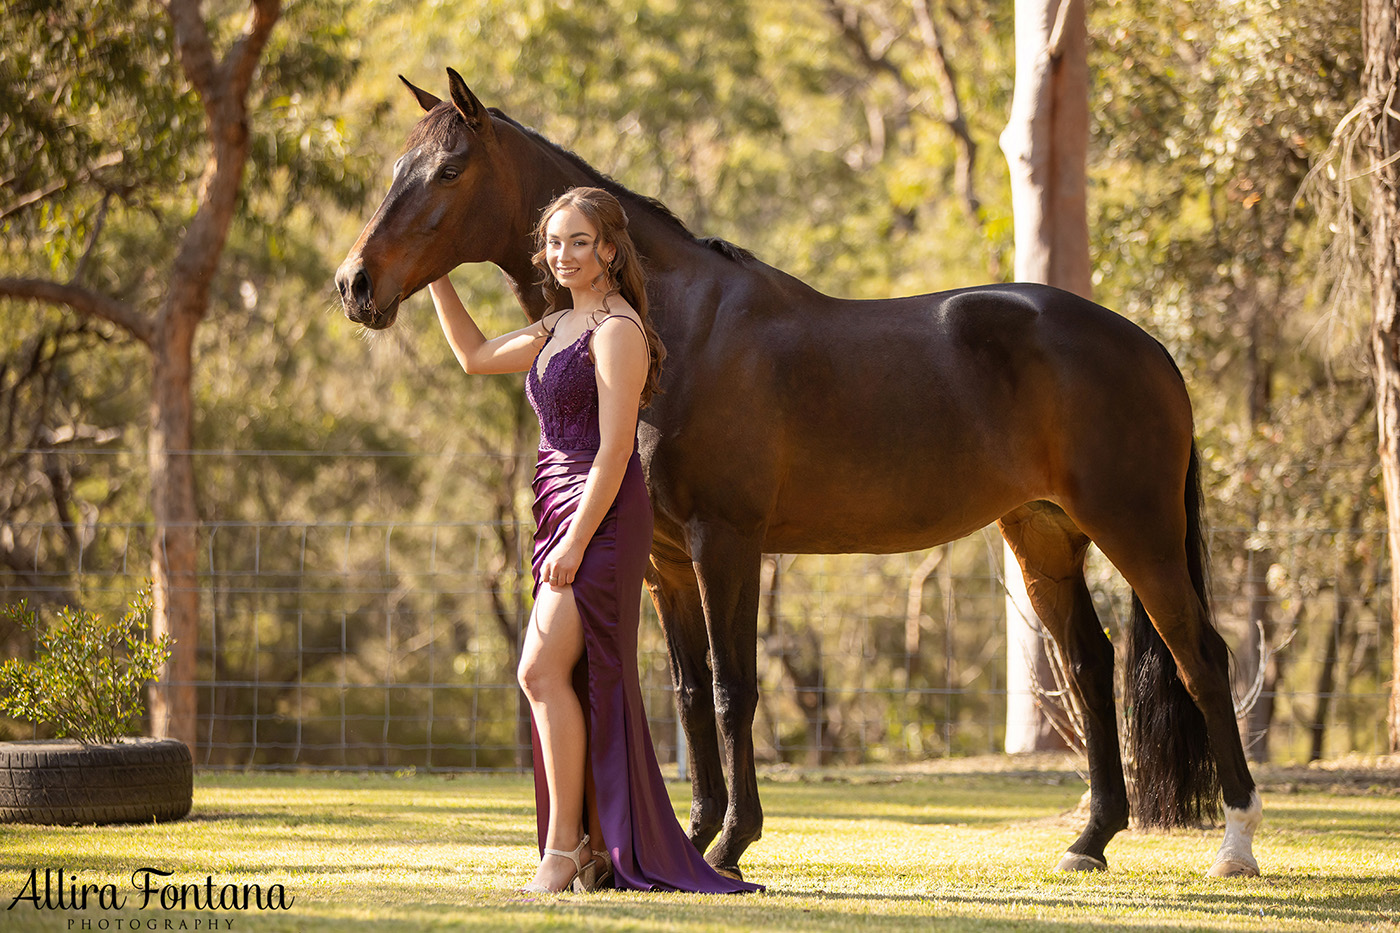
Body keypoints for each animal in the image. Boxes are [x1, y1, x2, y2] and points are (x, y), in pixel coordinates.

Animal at [333, 68, 1265, 874]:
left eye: (450, 169)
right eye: (397, 168)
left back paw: (1235, 845)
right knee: (1089, 665)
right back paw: (1090, 840)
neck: (674, 326)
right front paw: (691, 837)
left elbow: (732, 688)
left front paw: (730, 843)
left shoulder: (726, 541)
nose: (355, 283)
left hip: (1138, 531)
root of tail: (1149, 347)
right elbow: (687, 692)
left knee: (1202, 656)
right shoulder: (666, 560)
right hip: (1044, 536)